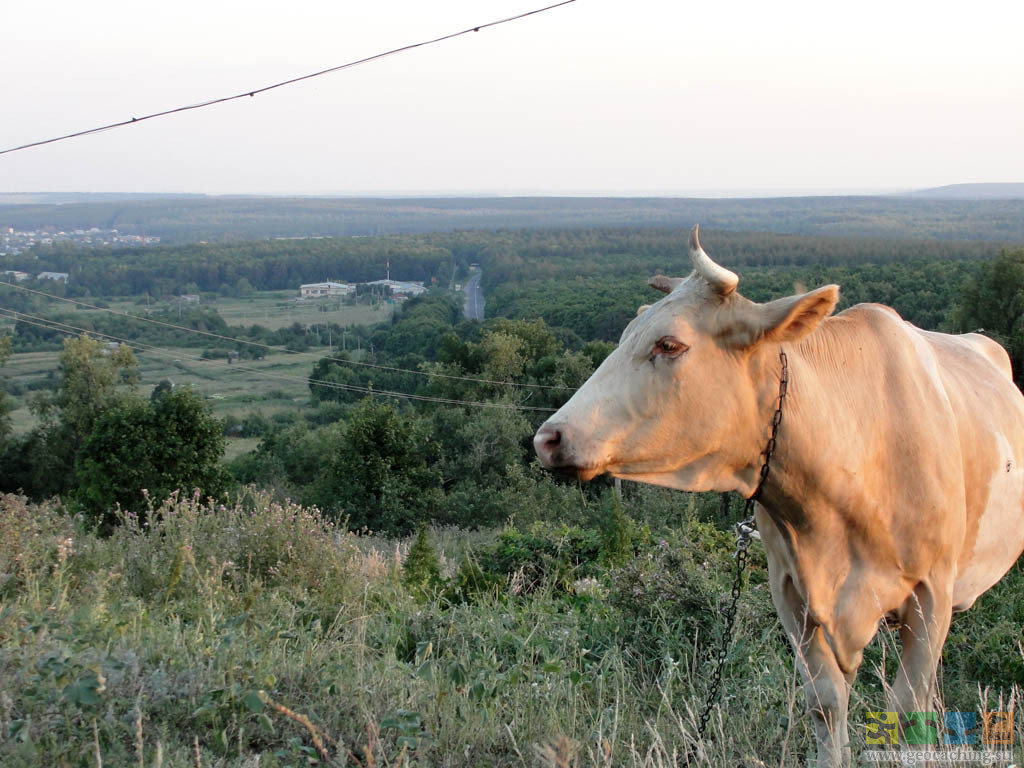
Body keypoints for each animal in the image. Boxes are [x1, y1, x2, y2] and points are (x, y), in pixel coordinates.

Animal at [532, 225, 1024, 765]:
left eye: (669, 344)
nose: (548, 438)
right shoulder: (791, 593)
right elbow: (826, 703)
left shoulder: (932, 589)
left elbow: (906, 710)